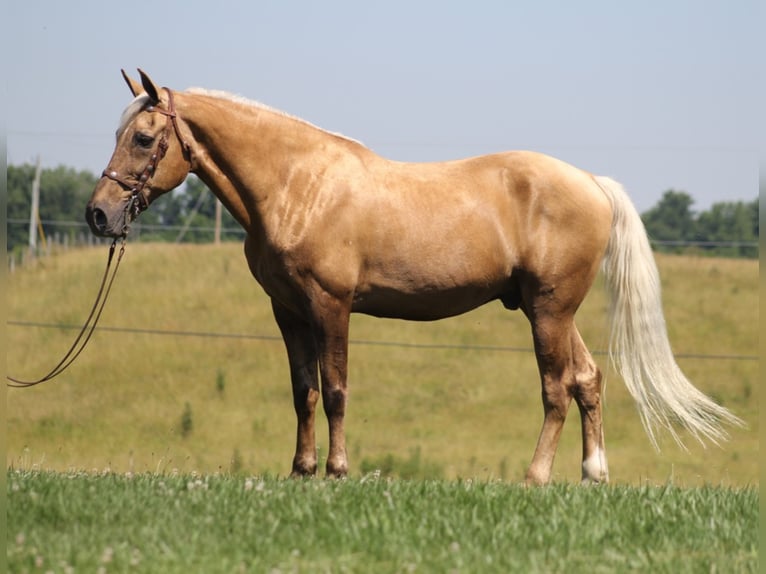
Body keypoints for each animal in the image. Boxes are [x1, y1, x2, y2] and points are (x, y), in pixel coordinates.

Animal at [85, 71, 744, 486]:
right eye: (118, 134)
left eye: (142, 138)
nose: (98, 214)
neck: (299, 184)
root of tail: (590, 181)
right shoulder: (288, 312)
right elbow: (304, 393)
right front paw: (300, 471)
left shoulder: (331, 306)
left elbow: (337, 390)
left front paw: (337, 471)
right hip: (552, 311)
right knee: (588, 380)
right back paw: (593, 474)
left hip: (549, 311)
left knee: (557, 389)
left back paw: (535, 478)